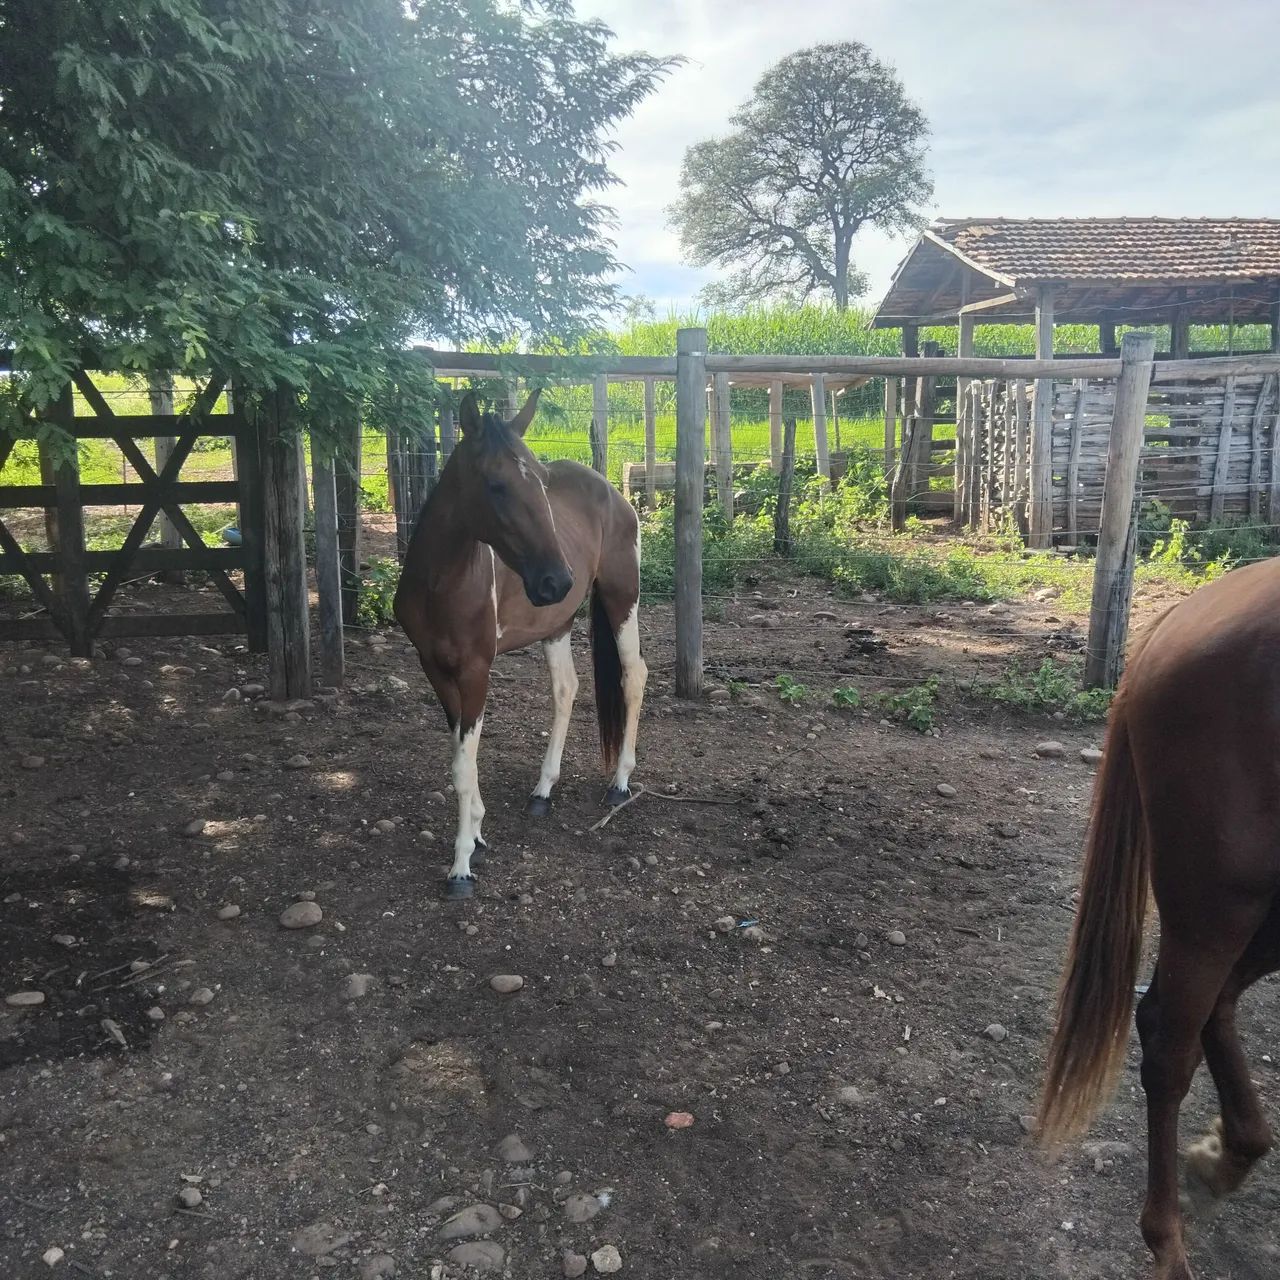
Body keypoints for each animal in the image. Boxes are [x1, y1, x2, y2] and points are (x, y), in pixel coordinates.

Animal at [393, 389, 647, 899]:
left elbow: (463, 766)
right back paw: (542, 791)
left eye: (542, 483)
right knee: (566, 690)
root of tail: (614, 494)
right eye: (496, 485)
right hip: (556, 625)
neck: (441, 583)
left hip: (621, 599)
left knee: (634, 676)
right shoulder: (435, 669)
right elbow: (462, 757)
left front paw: (461, 866)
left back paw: (619, 783)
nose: (557, 580)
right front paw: (476, 831)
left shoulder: (475, 671)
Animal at [1037, 555, 1280, 1280]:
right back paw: (1169, 1241)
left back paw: (1225, 1158)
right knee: (1170, 1033)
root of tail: (1177, 620)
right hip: (1218, 897)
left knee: (1211, 1007)